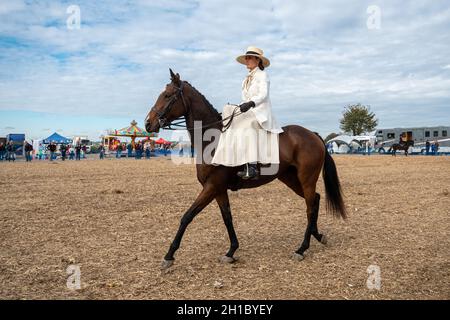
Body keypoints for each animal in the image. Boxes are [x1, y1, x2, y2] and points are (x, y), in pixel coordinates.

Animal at [146, 70, 346, 270]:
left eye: (167, 95)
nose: (148, 123)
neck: (213, 140)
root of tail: (313, 135)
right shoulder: (218, 189)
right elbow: (227, 217)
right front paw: (231, 251)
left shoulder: (211, 186)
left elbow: (187, 216)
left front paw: (169, 256)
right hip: (290, 179)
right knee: (315, 200)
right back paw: (318, 236)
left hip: (307, 179)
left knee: (310, 207)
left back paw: (302, 248)